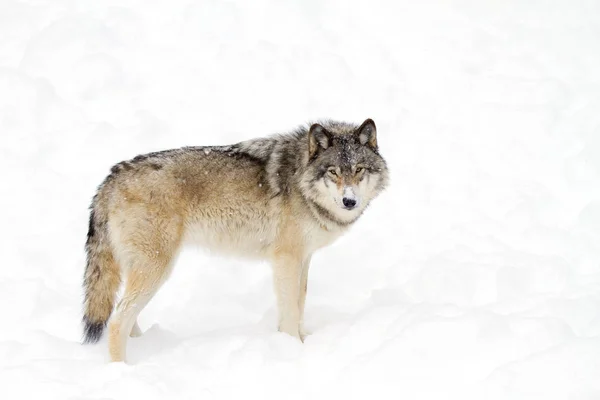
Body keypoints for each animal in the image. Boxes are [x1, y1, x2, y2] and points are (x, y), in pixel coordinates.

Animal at [82, 119, 390, 362]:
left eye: (359, 169)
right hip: (156, 268)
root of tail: (111, 177)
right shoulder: (286, 259)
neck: (301, 180)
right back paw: (123, 368)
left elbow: (300, 303)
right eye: (333, 171)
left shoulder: (303, 258)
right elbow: (290, 309)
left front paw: (303, 339)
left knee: (125, 313)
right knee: (117, 320)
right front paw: (293, 348)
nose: (349, 201)